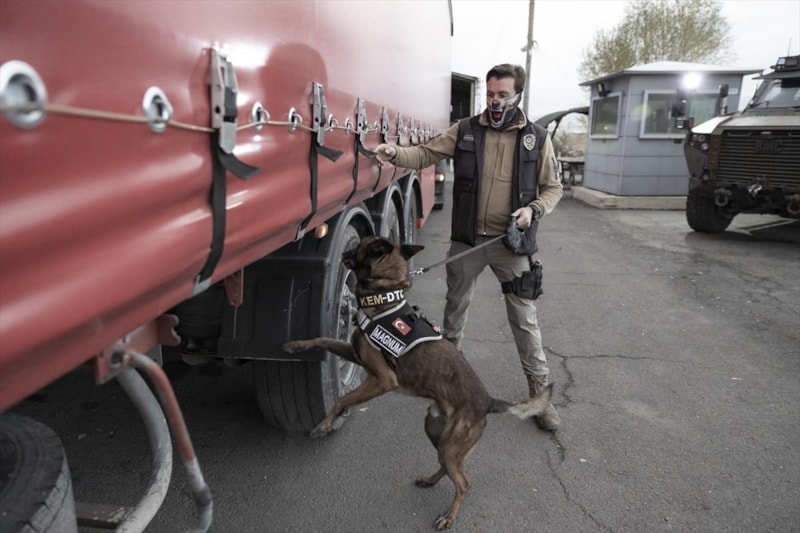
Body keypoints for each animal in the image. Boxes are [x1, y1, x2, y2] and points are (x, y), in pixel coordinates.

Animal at [282, 235, 553, 530]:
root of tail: (487, 401)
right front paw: (296, 345)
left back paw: (449, 516)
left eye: (360, 245)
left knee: (465, 483)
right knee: (447, 467)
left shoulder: (382, 380)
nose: (344, 252)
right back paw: (430, 480)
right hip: (436, 432)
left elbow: (343, 398)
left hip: (451, 444)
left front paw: (323, 425)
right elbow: (322, 340)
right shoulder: (354, 354)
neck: (383, 296)